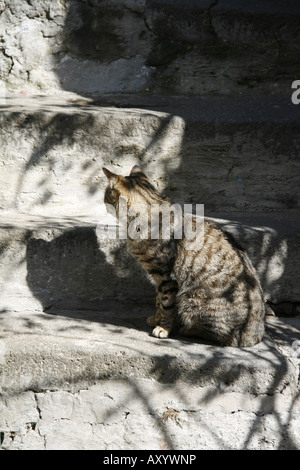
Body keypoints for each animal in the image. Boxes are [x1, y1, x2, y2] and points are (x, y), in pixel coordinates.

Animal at [102, 167, 264, 346]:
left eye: (106, 194)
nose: (103, 201)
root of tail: (255, 335)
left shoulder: (166, 278)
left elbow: (166, 305)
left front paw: (163, 328)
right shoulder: (158, 277)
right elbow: (158, 301)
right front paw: (156, 319)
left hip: (192, 300)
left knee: (223, 336)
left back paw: (188, 329)